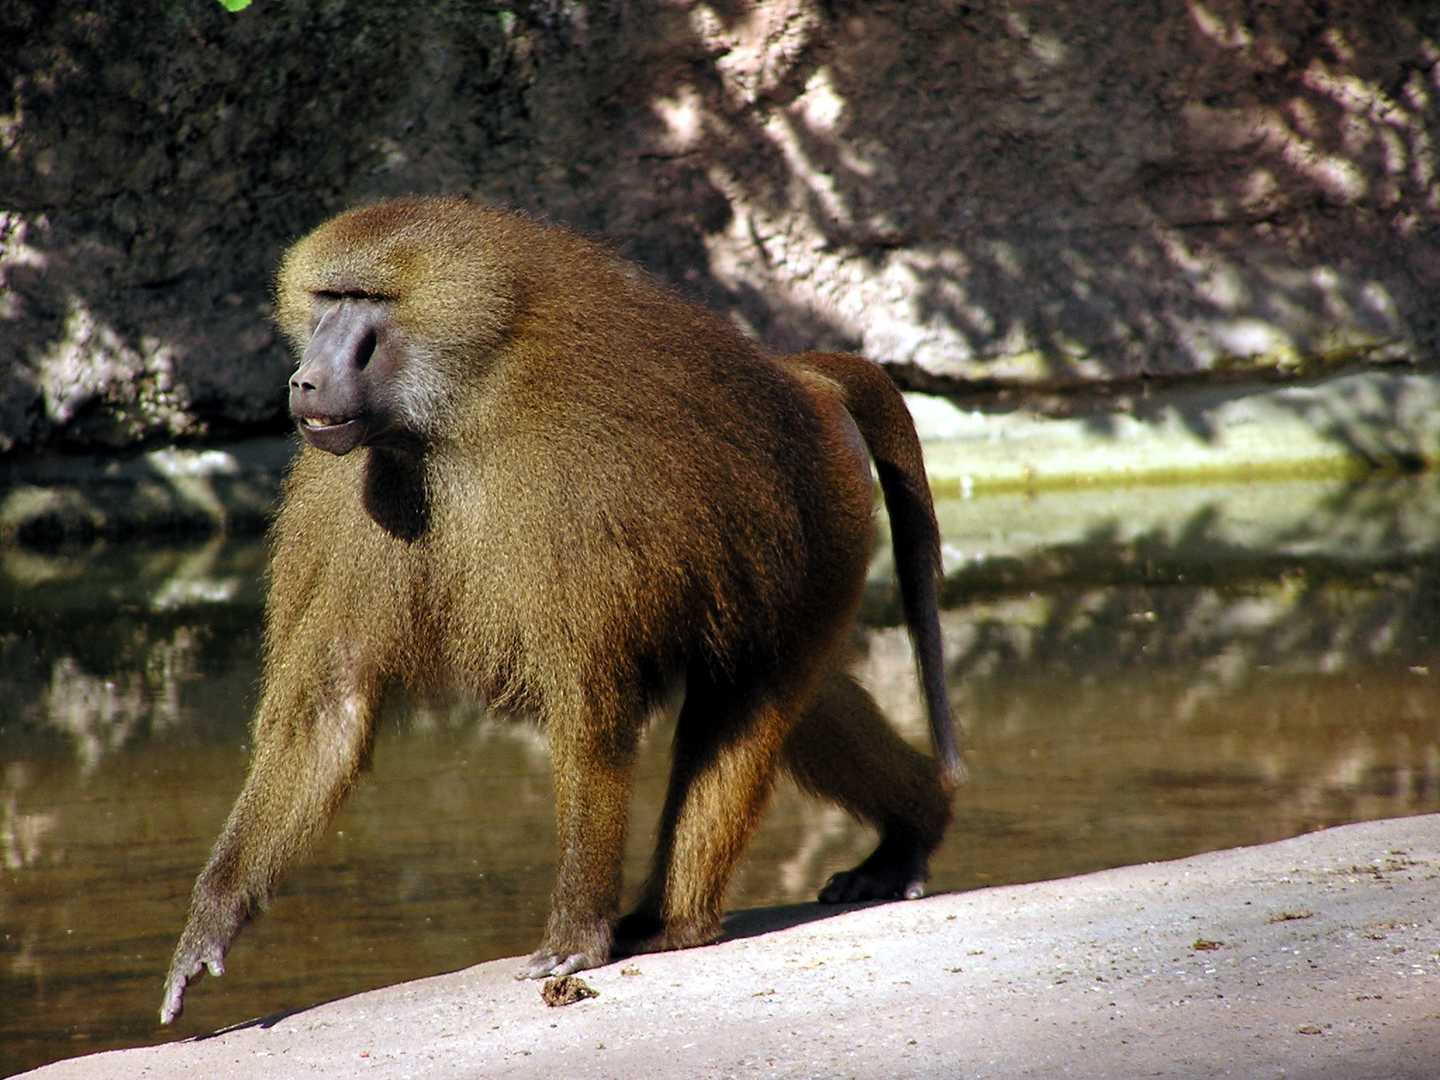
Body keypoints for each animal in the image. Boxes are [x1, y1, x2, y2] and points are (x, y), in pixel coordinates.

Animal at [159, 196, 961, 1025]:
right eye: (327, 300)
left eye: (367, 302)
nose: (307, 381)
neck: (461, 405)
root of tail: (801, 381)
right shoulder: (353, 485)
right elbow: (332, 705)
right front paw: (212, 920)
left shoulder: (568, 488)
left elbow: (589, 709)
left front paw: (574, 933)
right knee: (804, 704)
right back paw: (911, 829)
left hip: (825, 523)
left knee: (744, 708)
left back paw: (679, 922)